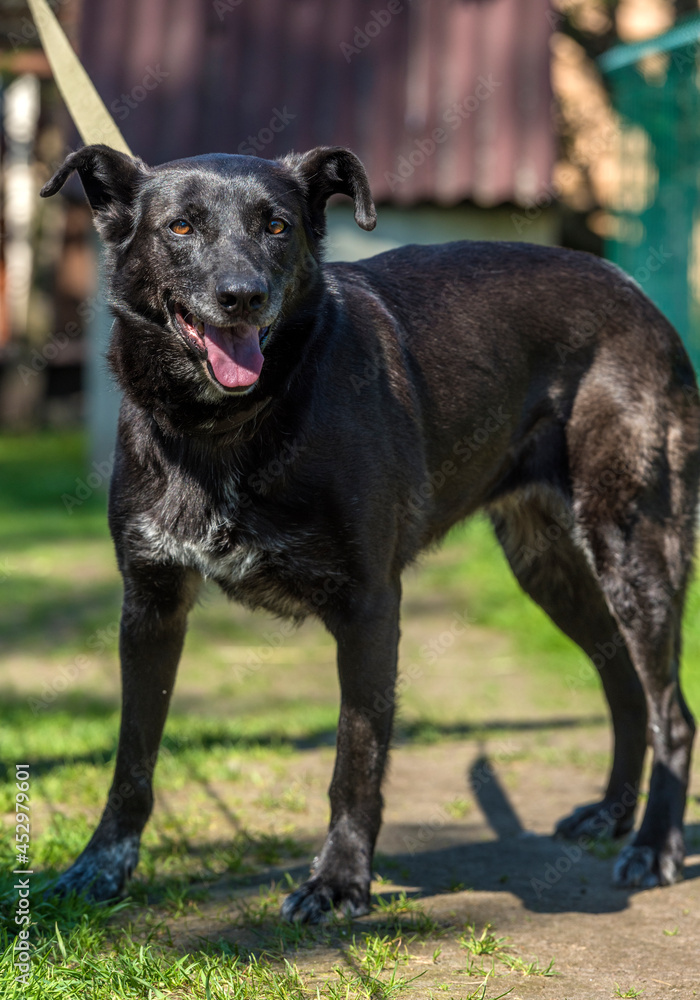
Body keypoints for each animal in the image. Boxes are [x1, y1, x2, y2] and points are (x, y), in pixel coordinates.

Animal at [42, 143, 700, 920]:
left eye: (276, 226)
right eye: (180, 227)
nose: (242, 297)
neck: (228, 426)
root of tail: (639, 296)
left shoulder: (369, 607)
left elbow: (355, 755)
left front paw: (339, 881)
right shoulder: (150, 603)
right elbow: (132, 755)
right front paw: (101, 866)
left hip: (632, 550)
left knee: (672, 712)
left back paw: (654, 846)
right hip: (548, 566)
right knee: (625, 687)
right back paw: (612, 814)